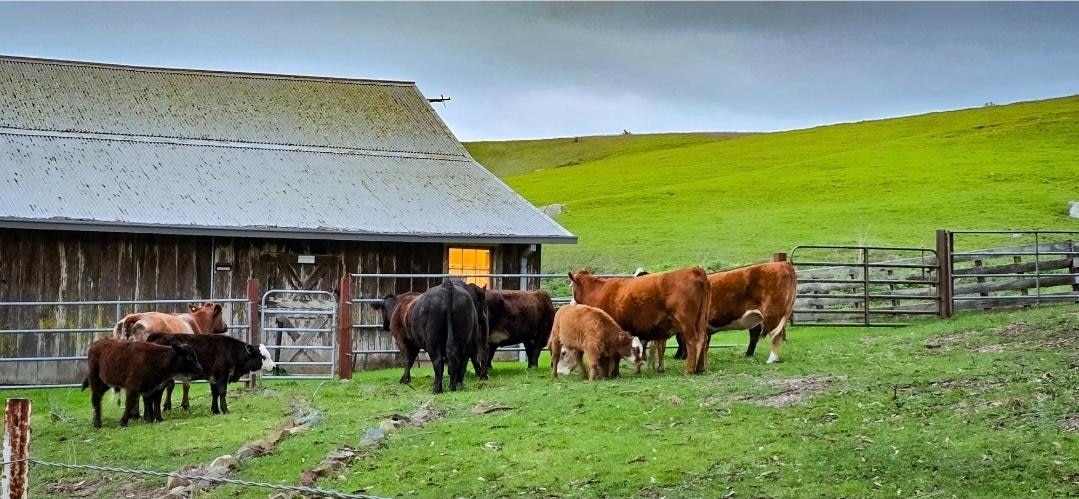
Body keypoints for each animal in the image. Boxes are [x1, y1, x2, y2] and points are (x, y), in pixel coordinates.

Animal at [146, 333, 275, 415]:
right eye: (263, 356)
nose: (274, 366)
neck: (232, 351)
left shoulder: (213, 378)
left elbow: (215, 394)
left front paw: (215, 410)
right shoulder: (222, 376)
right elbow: (222, 393)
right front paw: (225, 410)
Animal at [568, 267, 711, 375]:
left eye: (571, 286)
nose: (571, 304)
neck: (598, 291)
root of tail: (693, 269)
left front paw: (612, 373)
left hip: (686, 323)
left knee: (691, 342)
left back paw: (689, 370)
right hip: (700, 321)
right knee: (702, 339)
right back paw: (700, 368)